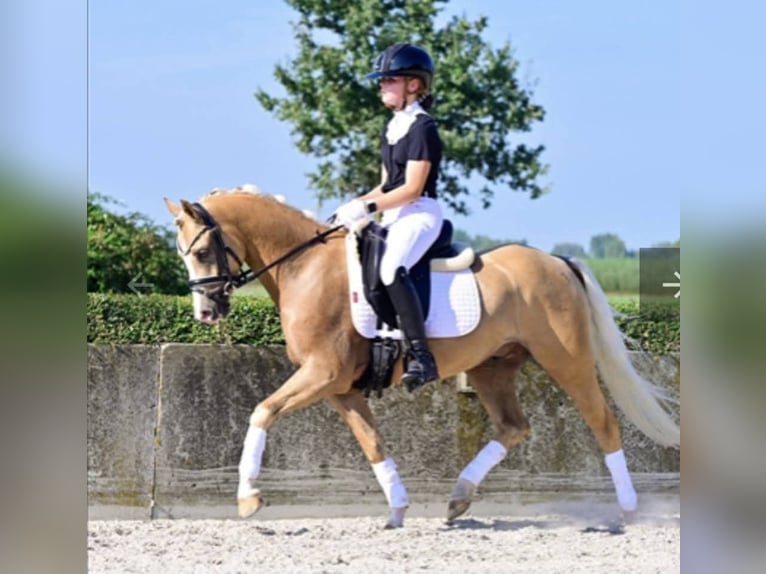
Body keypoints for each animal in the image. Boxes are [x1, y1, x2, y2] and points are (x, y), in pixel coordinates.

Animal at [164, 188, 679, 528]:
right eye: (182, 254)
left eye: (204, 251)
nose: (206, 313)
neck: (303, 266)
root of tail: (557, 261)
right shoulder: (337, 386)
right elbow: (372, 442)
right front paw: (396, 509)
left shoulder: (322, 373)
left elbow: (262, 411)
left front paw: (248, 497)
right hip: (492, 367)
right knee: (514, 427)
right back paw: (458, 499)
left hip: (566, 360)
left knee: (603, 423)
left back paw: (628, 511)